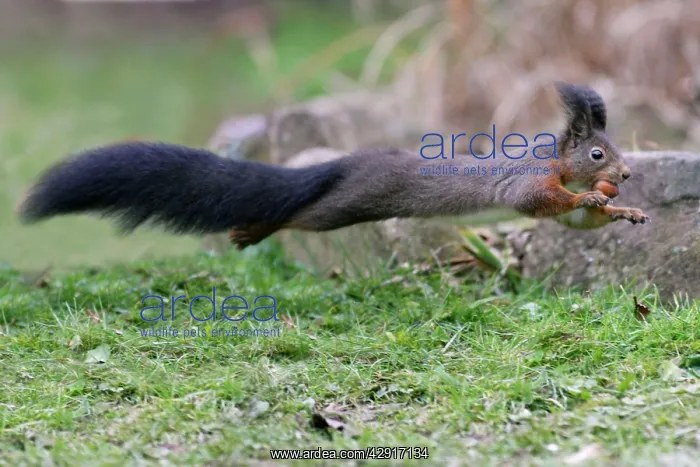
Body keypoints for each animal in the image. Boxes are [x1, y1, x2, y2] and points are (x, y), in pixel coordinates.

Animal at [17, 82, 649, 250]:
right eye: (598, 153)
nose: (625, 175)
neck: (558, 164)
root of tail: (346, 162)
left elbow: (575, 222)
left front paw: (625, 212)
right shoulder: (525, 183)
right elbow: (535, 201)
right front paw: (593, 196)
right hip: (345, 205)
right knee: (302, 215)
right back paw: (256, 229)